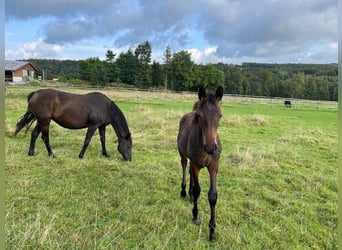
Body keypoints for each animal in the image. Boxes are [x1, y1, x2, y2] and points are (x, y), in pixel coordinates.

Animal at [178, 86, 223, 242]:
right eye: (199, 116)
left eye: (220, 115)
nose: (210, 147)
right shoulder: (196, 165)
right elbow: (198, 190)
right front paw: (195, 217)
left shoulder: (214, 166)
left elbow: (213, 196)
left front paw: (212, 231)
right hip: (183, 155)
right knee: (185, 167)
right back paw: (184, 191)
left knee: (190, 173)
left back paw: (191, 197)